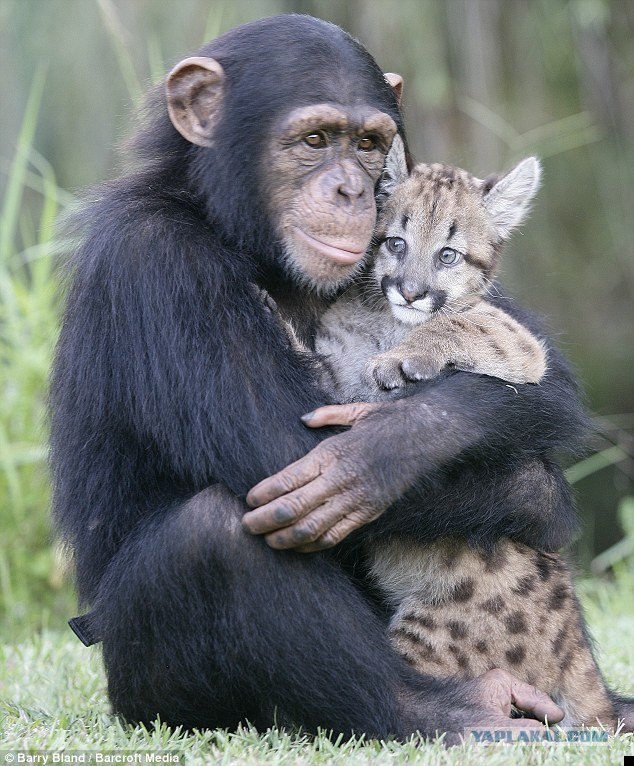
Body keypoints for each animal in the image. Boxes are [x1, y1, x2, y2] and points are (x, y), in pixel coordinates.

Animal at [50, 15, 588, 740]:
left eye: (367, 144)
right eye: (313, 141)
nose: (351, 190)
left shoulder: (509, 339)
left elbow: (497, 346)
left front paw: (386, 437)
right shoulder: (153, 259)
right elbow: (285, 434)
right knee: (214, 530)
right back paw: (451, 710)